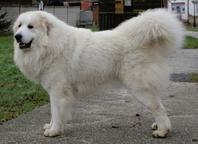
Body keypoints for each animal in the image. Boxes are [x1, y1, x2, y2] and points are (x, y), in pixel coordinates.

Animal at [13, 8, 185, 137]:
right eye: (20, 25)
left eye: (30, 26)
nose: (17, 36)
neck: (50, 44)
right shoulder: (57, 91)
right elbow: (56, 113)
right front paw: (52, 127)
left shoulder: (57, 91)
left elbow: (56, 112)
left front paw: (54, 131)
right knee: (159, 105)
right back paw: (158, 126)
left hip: (139, 88)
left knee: (158, 108)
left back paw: (162, 131)